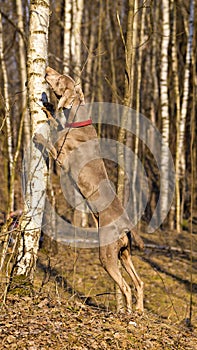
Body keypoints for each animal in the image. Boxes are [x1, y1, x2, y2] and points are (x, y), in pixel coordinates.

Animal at [33, 66, 144, 312]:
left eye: (60, 78)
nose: (47, 69)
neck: (77, 122)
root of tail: (127, 225)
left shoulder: (62, 158)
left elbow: (50, 139)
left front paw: (39, 134)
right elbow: (55, 120)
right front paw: (48, 106)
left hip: (107, 254)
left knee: (125, 287)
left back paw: (126, 313)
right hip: (125, 254)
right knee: (139, 283)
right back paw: (140, 312)